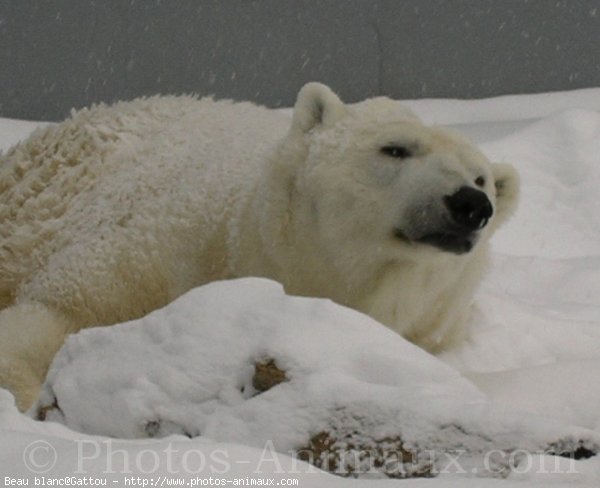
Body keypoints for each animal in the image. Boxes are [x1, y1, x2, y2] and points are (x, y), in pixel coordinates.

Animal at [0, 83, 516, 408]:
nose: (471, 204)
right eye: (395, 148)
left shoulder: (429, 330)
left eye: (481, 177)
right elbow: (55, 313)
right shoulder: (149, 254)